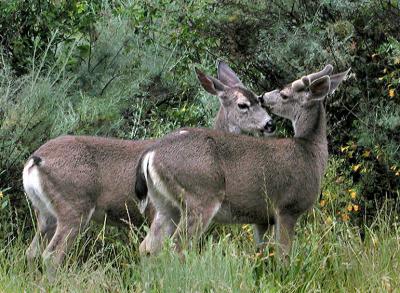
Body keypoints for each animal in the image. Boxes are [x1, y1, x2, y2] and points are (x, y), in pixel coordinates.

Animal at [137, 64, 350, 258]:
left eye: (284, 95)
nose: (264, 97)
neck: (310, 151)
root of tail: (150, 154)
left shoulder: (263, 218)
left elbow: (262, 253)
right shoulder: (287, 206)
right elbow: (283, 255)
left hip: (165, 205)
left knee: (148, 246)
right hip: (200, 196)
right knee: (177, 247)